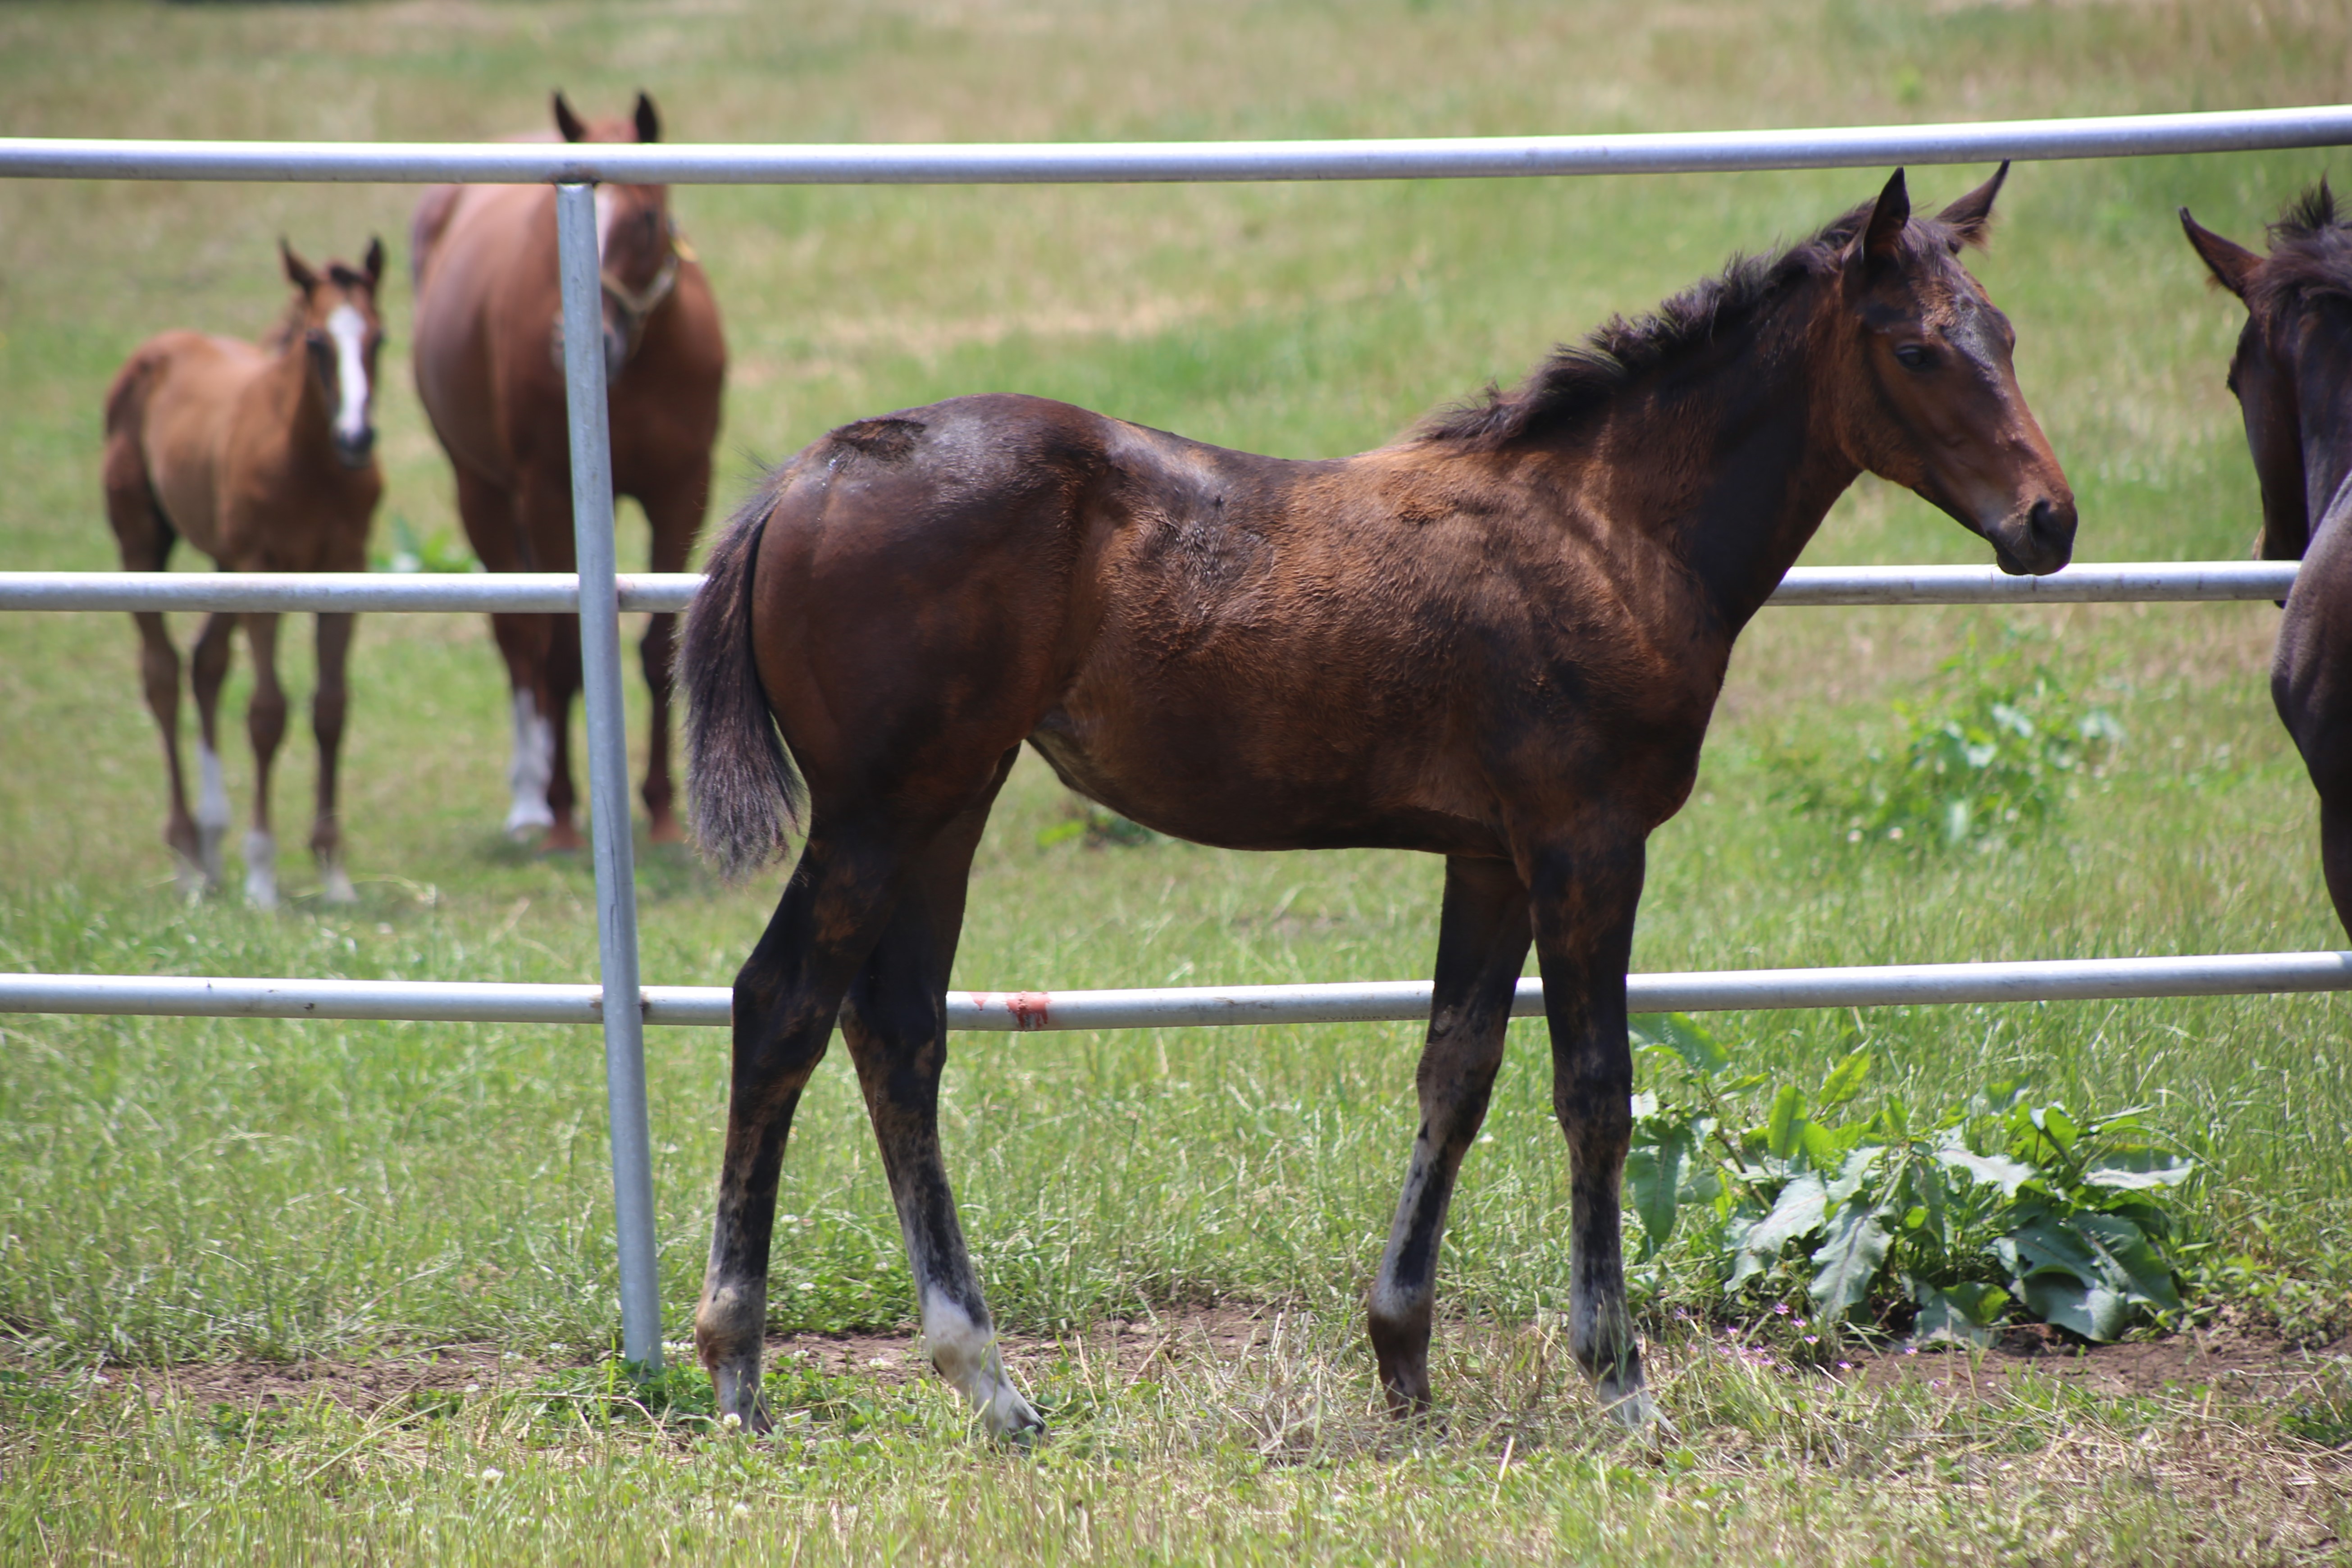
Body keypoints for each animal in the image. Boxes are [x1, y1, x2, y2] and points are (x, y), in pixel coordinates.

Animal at [102, 241, 386, 912]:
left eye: (380, 338)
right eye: (315, 340)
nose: (357, 437)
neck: (308, 461)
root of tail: (158, 349)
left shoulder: (346, 571)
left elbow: (330, 708)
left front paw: (333, 871)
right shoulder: (263, 569)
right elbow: (267, 713)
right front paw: (262, 875)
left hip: (223, 567)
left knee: (206, 663)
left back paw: (211, 845)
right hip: (142, 546)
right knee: (162, 674)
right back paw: (186, 855)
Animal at [411, 92, 724, 851]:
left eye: (647, 218)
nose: (577, 343)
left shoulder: (682, 490)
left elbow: (657, 646)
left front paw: (662, 812)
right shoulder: (550, 494)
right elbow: (558, 651)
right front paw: (560, 812)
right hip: (483, 494)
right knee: (518, 640)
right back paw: (531, 800)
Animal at [682, 169, 2079, 1439]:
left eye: (2006, 336)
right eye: (1916, 349)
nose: (2047, 522)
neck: (1607, 529)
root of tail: (806, 474)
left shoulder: (1492, 858)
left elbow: (1455, 1070)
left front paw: (1402, 1357)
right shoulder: (1585, 842)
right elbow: (1594, 1090)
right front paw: (1619, 1383)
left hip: (948, 805)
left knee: (898, 1032)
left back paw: (987, 1382)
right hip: (877, 812)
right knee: (782, 1006)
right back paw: (742, 1368)